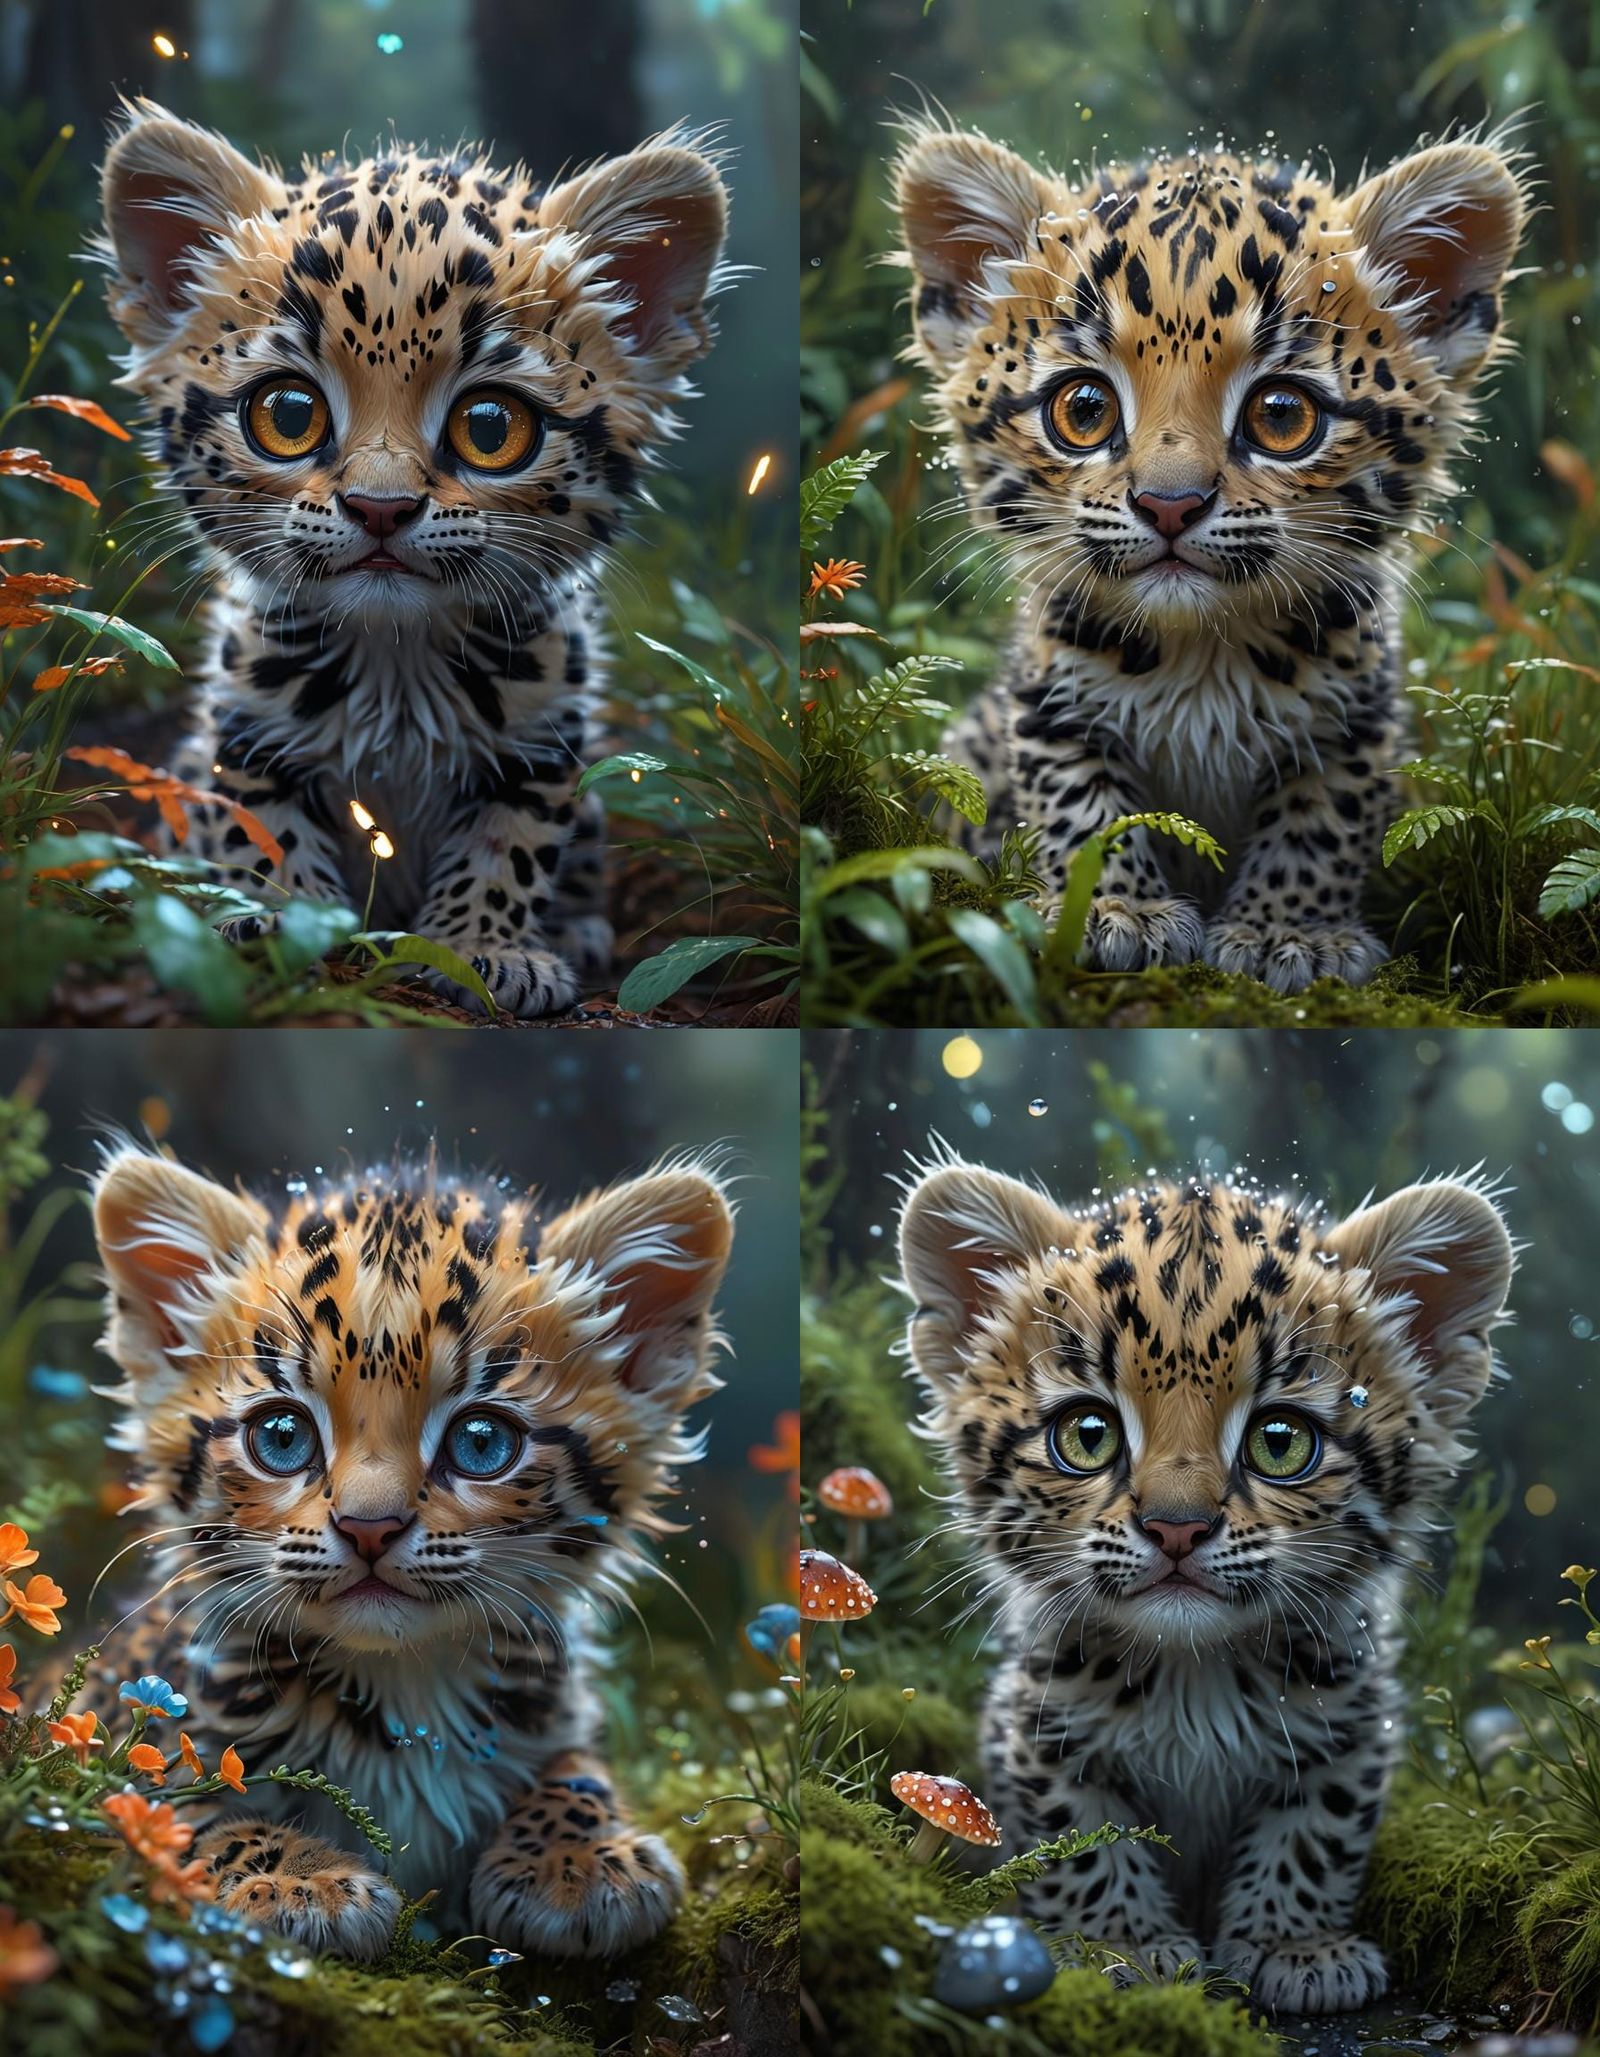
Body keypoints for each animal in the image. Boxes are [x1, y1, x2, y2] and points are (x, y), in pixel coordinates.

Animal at [57, 1142, 734, 1959]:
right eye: (281, 1436)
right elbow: (173, 1799)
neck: (406, 1688)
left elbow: (579, 1769)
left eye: (482, 1441)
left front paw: (578, 1860)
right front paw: (298, 1882)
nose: (369, 1526)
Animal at [95, 99, 731, 1017]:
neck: (395, 667)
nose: (382, 507)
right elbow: (261, 830)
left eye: (491, 427)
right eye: (289, 413)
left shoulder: (542, 742)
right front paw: (282, 919)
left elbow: (509, 848)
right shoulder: (245, 732)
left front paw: (484, 950)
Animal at [891, 118, 1529, 994]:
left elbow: (1325, 817)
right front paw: (1113, 911)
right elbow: (1080, 802)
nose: (1170, 504)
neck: (1200, 655)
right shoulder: (1049, 700)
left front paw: (1289, 931)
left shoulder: (1355, 717)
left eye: (1282, 415)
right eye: (1084, 409)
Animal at [895, 1148, 1514, 2014]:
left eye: (1281, 1440)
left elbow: (1315, 1825)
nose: (1177, 1527)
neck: (1194, 1676)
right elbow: (1078, 1834)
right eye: (1087, 1434)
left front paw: (1298, 1946)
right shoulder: (1041, 1727)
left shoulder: (1348, 1720)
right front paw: (1117, 1945)